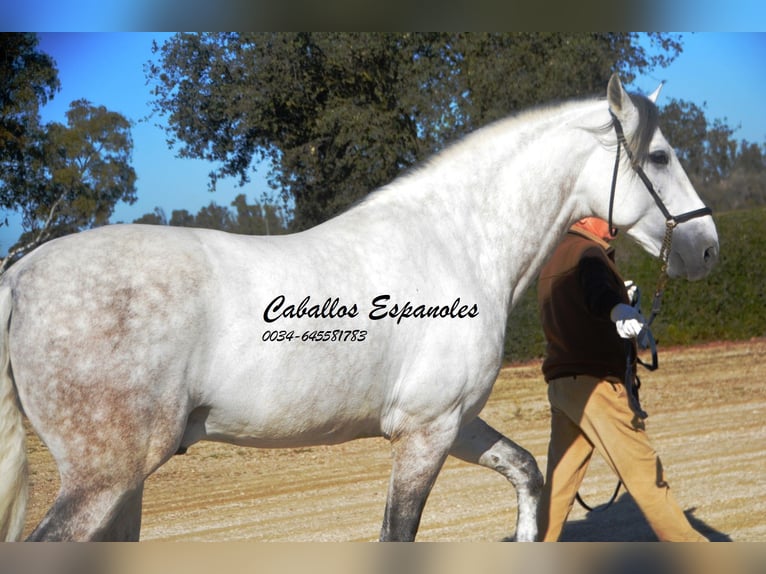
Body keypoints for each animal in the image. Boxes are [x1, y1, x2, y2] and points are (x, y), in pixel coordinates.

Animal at [0, 76, 720, 544]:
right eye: (660, 155)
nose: (707, 247)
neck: (455, 242)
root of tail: (22, 276)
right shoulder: (425, 434)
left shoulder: (454, 424)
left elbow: (527, 474)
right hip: (104, 477)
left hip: (122, 485)